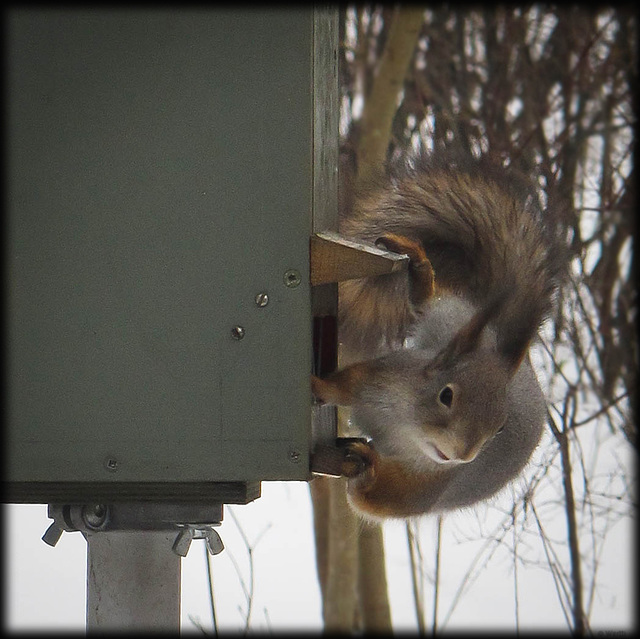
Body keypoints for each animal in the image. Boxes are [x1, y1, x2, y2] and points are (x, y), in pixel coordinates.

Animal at [312, 155, 564, 520]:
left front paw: (367, 466)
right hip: (450, 317)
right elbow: (345, 384)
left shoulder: (430, 485)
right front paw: (316, 385)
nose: (462, 455)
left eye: (499, 428)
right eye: (446, 396)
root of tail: (510, 359)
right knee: (429, 302)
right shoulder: (387, 376)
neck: (408, 427)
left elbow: (381, 499)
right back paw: (419, 267)